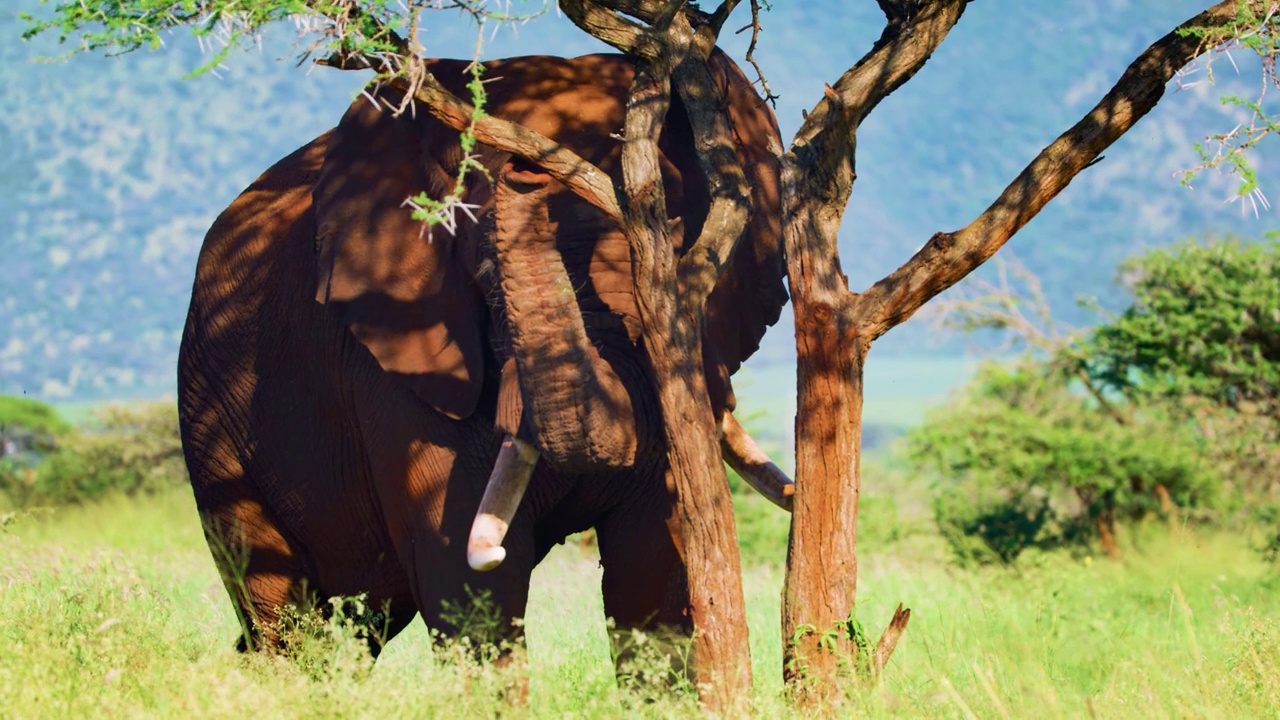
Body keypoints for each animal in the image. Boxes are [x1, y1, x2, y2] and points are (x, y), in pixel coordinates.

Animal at [170, 47, 788, 661]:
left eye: (679, 250)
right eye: (488, 272)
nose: (526, 167)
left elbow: (654, 570)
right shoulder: (395, 364)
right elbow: (469, 583)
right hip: (212, 423)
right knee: (282, 619)